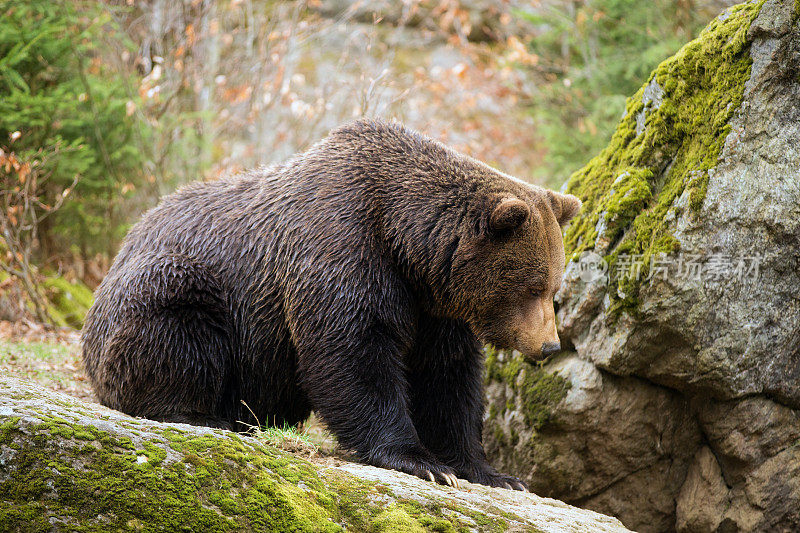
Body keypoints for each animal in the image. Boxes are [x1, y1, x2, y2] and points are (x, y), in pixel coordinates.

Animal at [81, 118, 580, 488]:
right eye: (533, 287)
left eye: (553, 287)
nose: (549, 345)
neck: (405, 241)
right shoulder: (341, 245)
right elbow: (352, 351)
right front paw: (419, 460)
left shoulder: (433, 305)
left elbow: (447, 378)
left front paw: (490, 471)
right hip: (180, 284)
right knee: (174, 321)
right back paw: (201, 414)